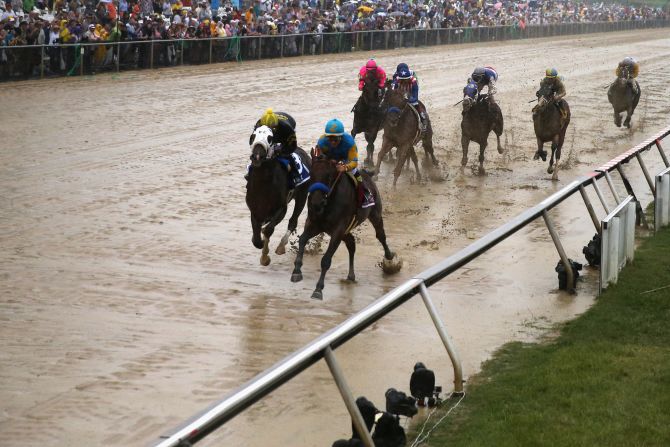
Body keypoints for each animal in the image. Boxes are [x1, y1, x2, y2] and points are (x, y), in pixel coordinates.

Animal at [247, 126, 312, 266]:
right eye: (253, 136)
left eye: (270, 138)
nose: (257, 156)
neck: (263, 185)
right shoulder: (254, 210)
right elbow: (256, 239)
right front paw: (260, 243)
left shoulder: (281, 208)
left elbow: (268, 230)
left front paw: (265, 257)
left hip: (302, 196)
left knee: (293, 221)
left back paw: (281, 246)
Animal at [292, 155, 400, 300]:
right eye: (311, 175)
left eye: (328, 176)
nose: (316, 203)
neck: (328, 203)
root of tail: (367, 174)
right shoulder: (315, 225)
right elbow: (302, 239)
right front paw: (296, 271)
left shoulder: (338, 230)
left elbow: (326, 260)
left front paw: (318, 289)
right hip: (344, 231)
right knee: (351, 243)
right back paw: (351, 275)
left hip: (375, 213)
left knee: (380, 235)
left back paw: (389, 259)